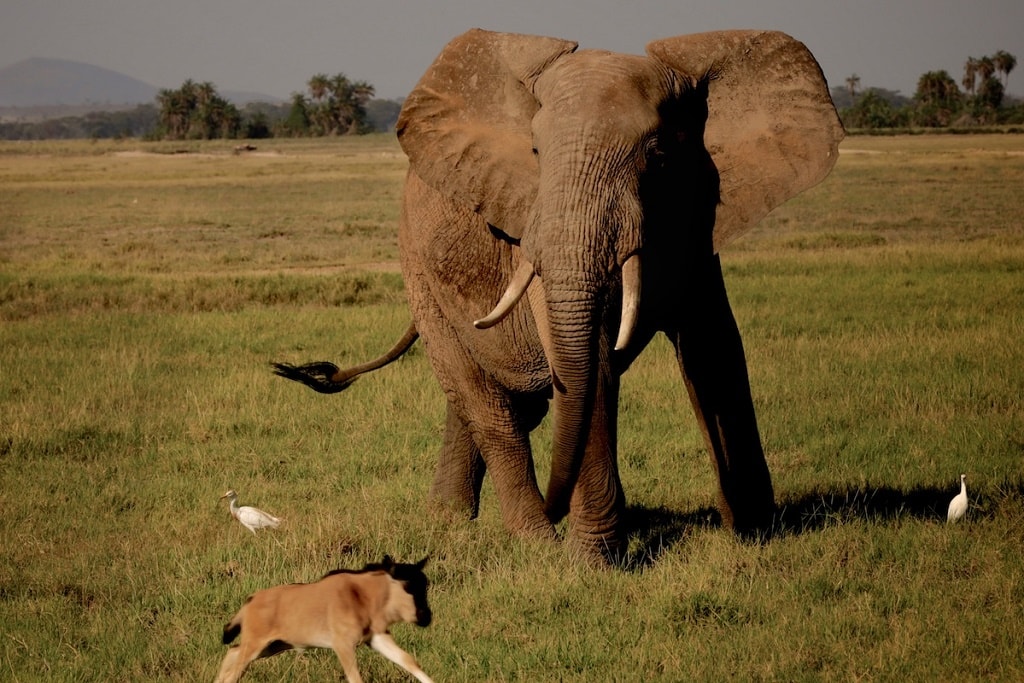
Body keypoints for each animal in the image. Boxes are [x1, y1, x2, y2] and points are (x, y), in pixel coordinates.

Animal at [218, 557, 434, 679]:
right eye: (408, 586)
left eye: (425, 584)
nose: (426, 617)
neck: (361, 595)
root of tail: (250, 601)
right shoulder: (343, 645)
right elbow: (355, 677)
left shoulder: (376, 638)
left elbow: (408, 660)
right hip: (256, 644)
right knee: (234, 669)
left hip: (273, 646)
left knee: (231, 654)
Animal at [272, 26, 839, 565]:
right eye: (536, 153)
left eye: (657, 156)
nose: (557, 508)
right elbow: (593, 364)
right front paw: (592, 564)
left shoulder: (700, 213)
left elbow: (714, 346)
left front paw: (758, 534)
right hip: (416, 264)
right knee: (488, 405)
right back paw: (534, 539)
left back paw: (452, 520)